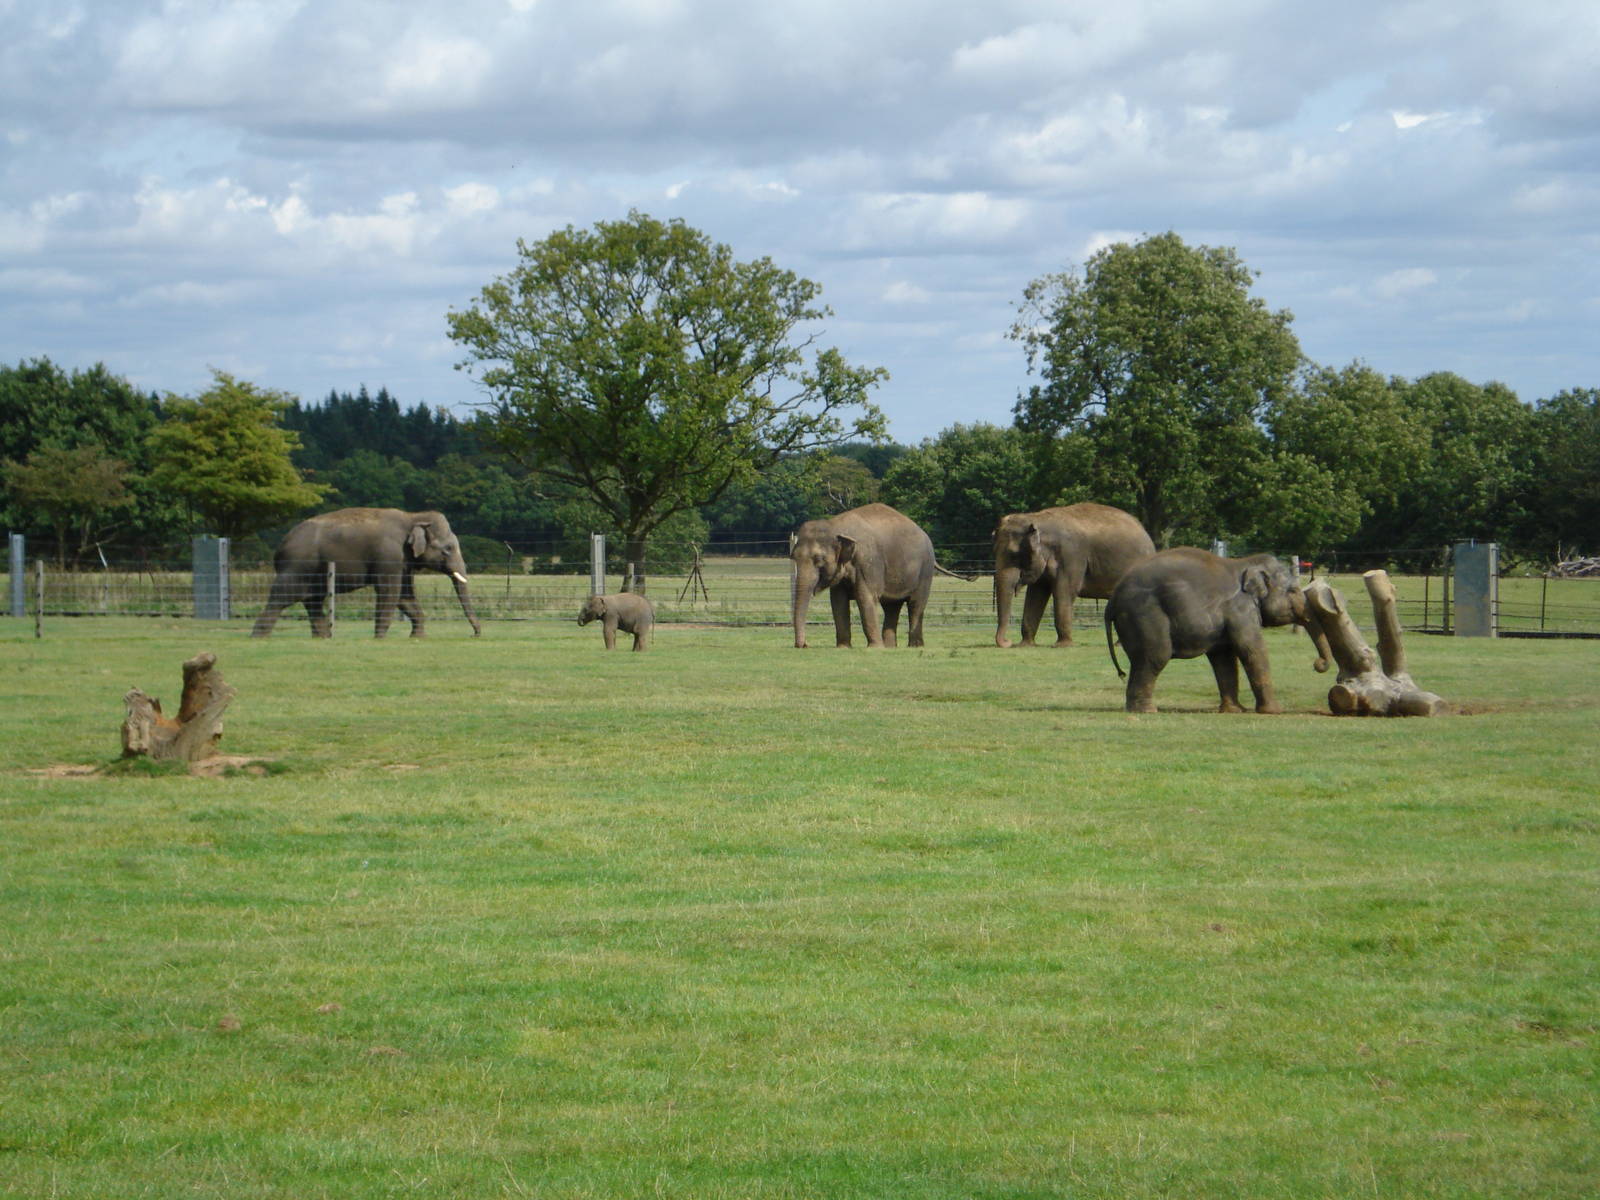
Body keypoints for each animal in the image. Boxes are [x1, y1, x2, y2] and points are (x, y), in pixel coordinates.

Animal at [250, 508, 482, 638]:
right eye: (448, 548)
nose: (476, 634)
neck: (413, 517)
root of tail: (280, 546)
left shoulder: (403, 562)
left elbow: (405, 596)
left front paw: (417, 637)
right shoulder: (389, 556)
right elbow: (389, 592)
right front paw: (379, 638)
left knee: (313, 602)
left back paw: (322, 638)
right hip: (296, 567)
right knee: (280, 599)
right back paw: (258, 637)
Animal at [790, 503, 956, 648]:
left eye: (819, 560)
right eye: (793, 557)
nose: (804, 645)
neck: (836, 525)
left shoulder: (868, 562)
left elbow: (865, 597)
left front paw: (874, 648)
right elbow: (838, 602)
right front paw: (843, 647)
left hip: (925, 570)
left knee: (916, 604)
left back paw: (914, 646)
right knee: (891, 607)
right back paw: (890, 647)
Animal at [993, 503, 1156, 648]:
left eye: (1014, 555)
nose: (1008, 642)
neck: (1037, 518)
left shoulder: (1071, 556)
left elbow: (1064, 592)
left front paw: (1062, 646)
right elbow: (1035, 595)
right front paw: (1025, 645)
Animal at [1104, 548, 1332, 714]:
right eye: (1293, 591)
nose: (1318, 664)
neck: (1247, 563)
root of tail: (1113, 599)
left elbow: (1224, 657)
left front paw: (1235, 711)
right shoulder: (1240, 609)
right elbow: (1251, 648)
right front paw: (1274, 711)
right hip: (1145, 615)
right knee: (1156, 656)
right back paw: (1147, 711)